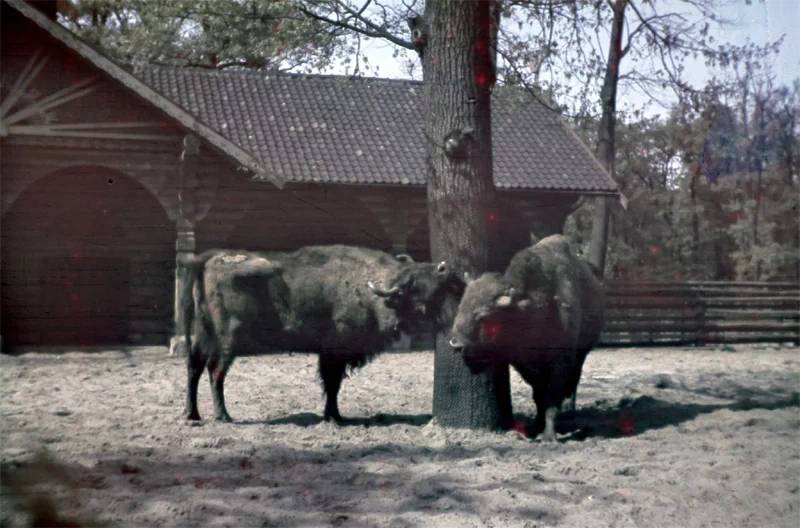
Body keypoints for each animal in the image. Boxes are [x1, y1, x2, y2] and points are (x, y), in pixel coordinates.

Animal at [175, 245, 462, 422]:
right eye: (416, 282)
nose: (445, 268)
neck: (374, 289)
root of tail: (208, 259)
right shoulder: (334, 352)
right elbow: (332, 384)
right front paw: (334, 417)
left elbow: (331, 385)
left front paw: (333, 415)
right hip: (228, 338)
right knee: (215, 371)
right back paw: (223, 415)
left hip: (203, 335)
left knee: (194, 366)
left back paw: (192, 414)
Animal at [446, 236, 604, 442]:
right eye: (461, 307)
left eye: (483, 315)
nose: (456, 343)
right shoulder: (525, 366)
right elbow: (538, 396)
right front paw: (537, 425)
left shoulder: (560, 363)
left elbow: (551, 400)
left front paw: (549, 436)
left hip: (581, 355)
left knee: (573, 383)